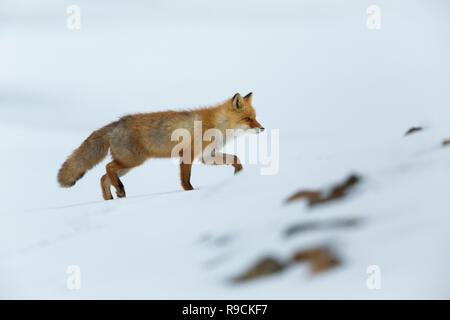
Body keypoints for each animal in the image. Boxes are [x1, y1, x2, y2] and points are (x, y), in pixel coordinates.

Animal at [58, 91, 266, 199]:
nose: (262, 128)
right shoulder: (188, 154)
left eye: (255, 117)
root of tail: (116, 122)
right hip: (132, 161)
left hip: (127, 165)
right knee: (108, 169)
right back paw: (119, 190)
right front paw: (190, 192)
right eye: (248, 119)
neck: (217, 125)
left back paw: (112, 198)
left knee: (103, 178)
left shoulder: (207, 156)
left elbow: (235, 158)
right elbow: (185, 179)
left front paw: (239, 173)